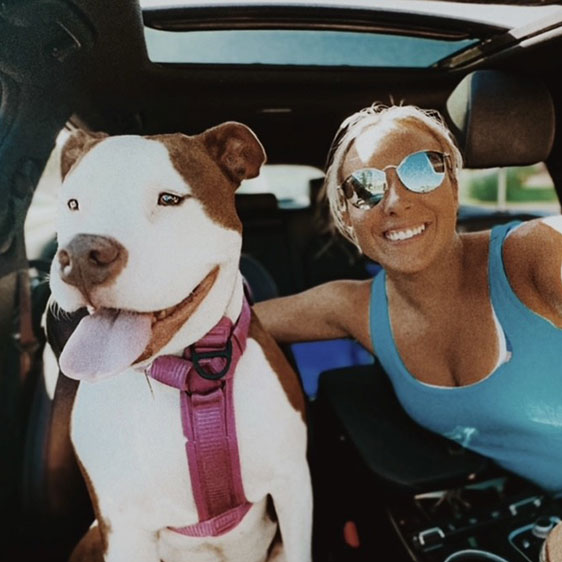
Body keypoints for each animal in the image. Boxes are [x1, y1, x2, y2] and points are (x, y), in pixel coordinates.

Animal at [46, 122, 312, 560]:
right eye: (72, 203)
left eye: (169, 199)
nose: (81, 254)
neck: (190, 375)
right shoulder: (123, 529)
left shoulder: (293, 484)